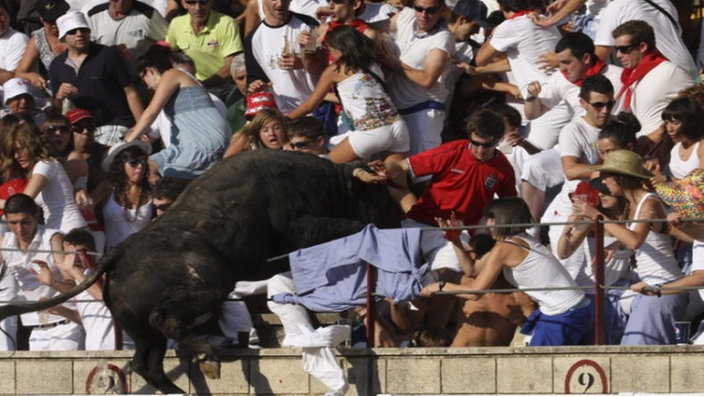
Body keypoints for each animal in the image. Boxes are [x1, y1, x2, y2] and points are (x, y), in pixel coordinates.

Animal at [0, 149, 402, 392]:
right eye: (379, 195)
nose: (400, 222)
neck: (323, 181)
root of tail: (119, 252)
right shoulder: (304, 227)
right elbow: (347, 226)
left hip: (142, 330)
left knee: (147, 363)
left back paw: (181, 385)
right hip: (210, 285)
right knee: (166, 322)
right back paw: (208, 357)